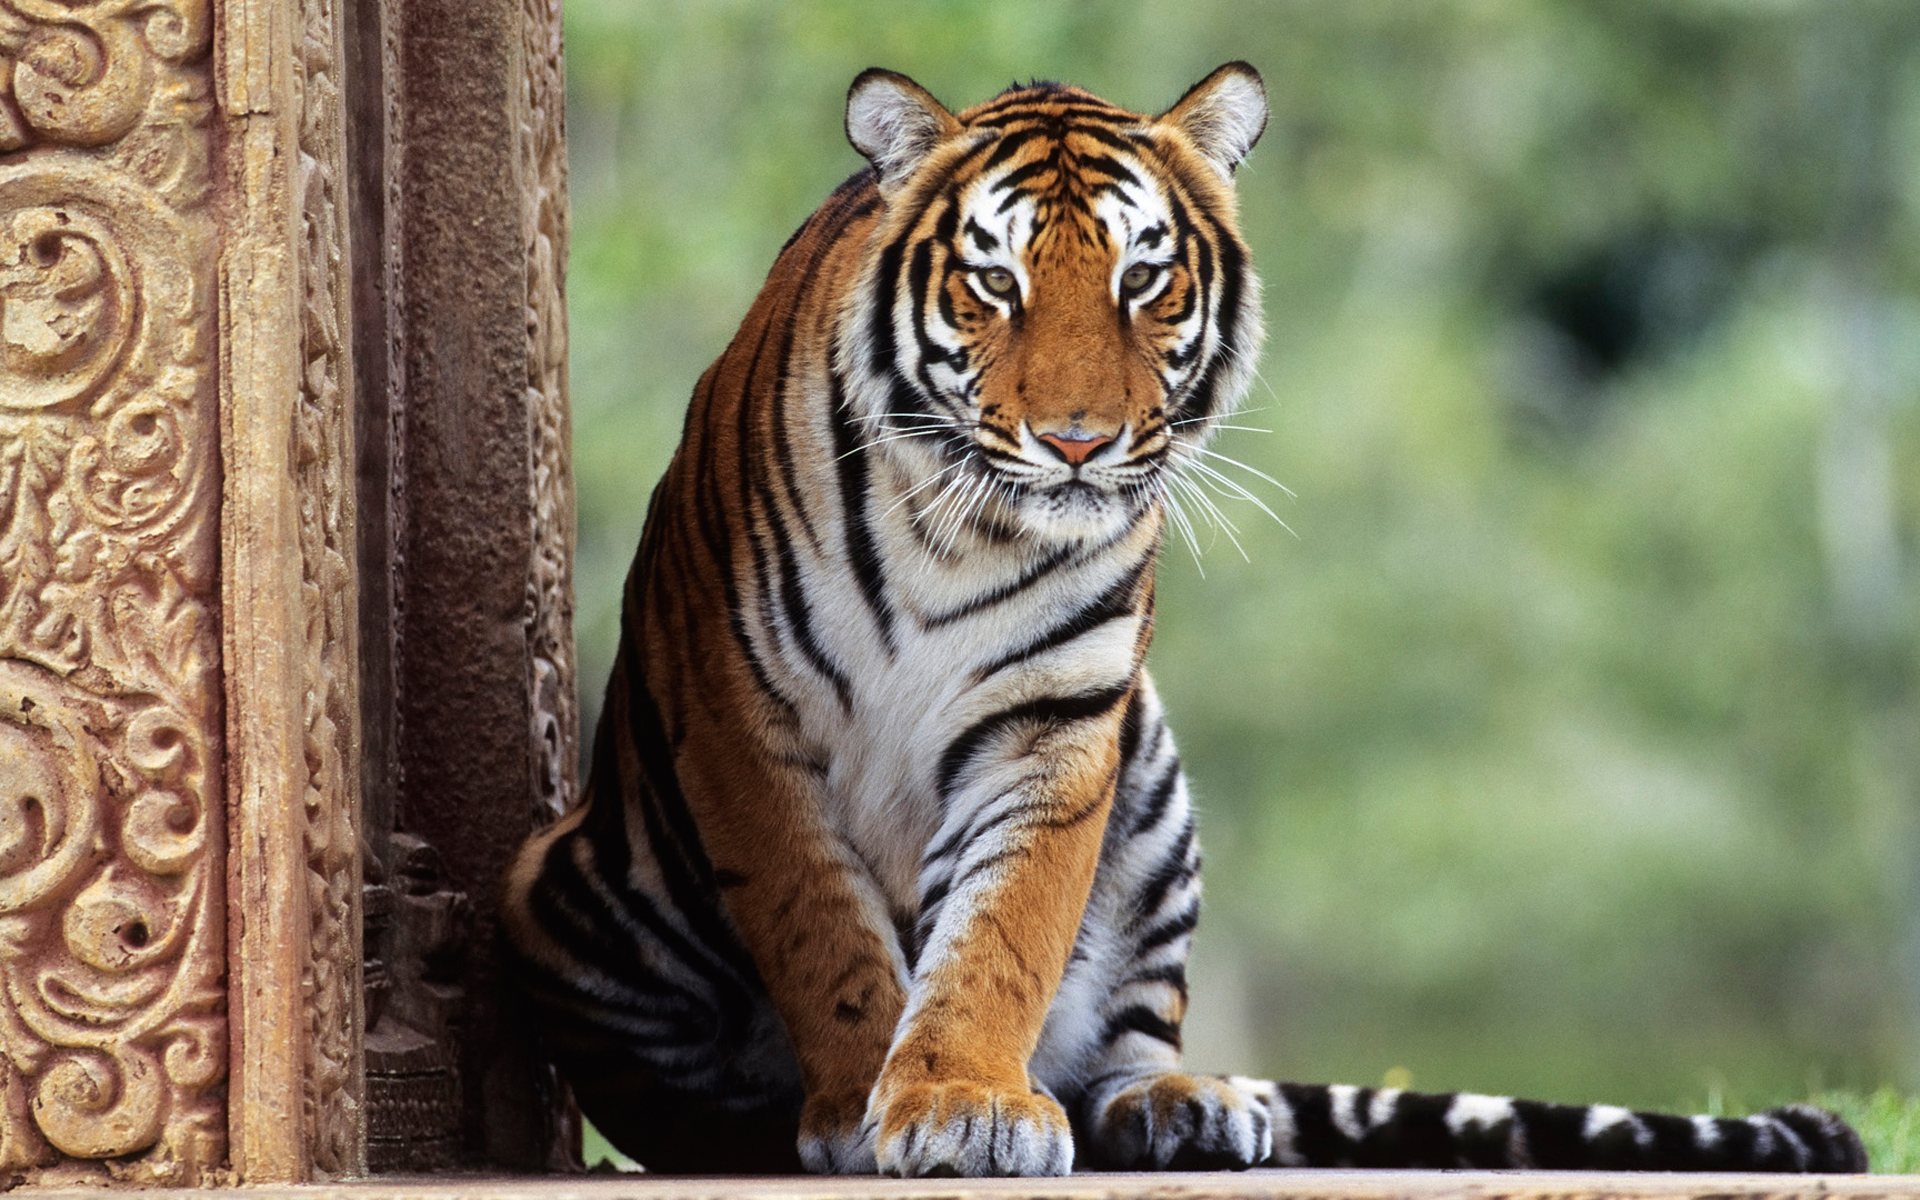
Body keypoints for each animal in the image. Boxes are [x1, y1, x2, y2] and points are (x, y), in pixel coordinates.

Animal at [500, 64, 1868, 1177]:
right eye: (994, 281)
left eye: (1143, 278)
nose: (1077, 442)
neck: (959, 529)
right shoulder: (743, 720)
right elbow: (822, 933)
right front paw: (860, 1105)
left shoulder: (1057, 725)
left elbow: (1001, 933)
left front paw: (957, 1100)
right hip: (561, 889)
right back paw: (755, 1128)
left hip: (1150, 776)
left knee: (1127, 1037)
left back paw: (1178, 1107)